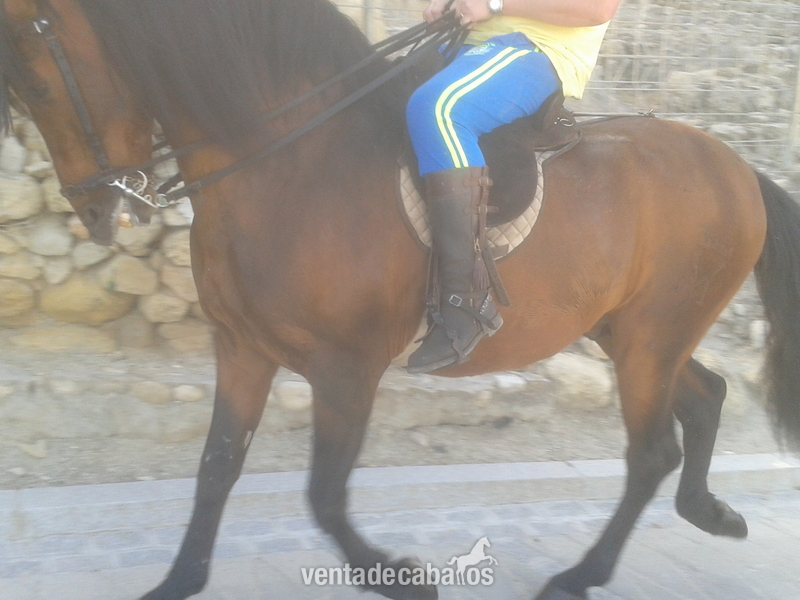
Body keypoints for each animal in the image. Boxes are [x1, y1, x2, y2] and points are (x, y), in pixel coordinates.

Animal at [2, 1, 799, 599]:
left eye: (34, 86)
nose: (97, 211)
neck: (290, 160)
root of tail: (736, 165)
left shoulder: (345, 368)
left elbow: (324, 494)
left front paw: (398, 576)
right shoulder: (242, 346)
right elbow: (217, 467)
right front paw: (178, 581)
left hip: (648, 341)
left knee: (651, 450)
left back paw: (582, 574)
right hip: (632, 333)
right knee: (705, 398)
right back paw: (706, 511)